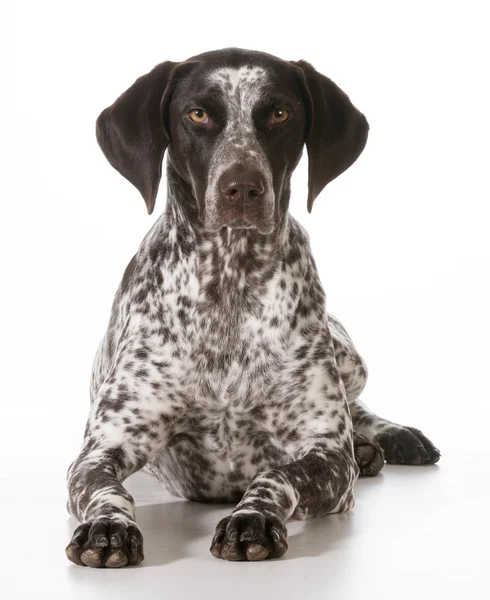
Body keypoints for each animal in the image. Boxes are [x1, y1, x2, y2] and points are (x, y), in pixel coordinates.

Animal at [66, 48, 440, 568]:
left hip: (349, 356)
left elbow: (277, 474)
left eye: (279, 113)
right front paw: (108, 528)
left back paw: (385, 436)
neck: (230, 279)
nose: (242, 187)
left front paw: (253, 517)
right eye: (197, 114)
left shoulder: (326, 454)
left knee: (356, 404)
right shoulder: (105, 446)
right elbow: (107, 491)